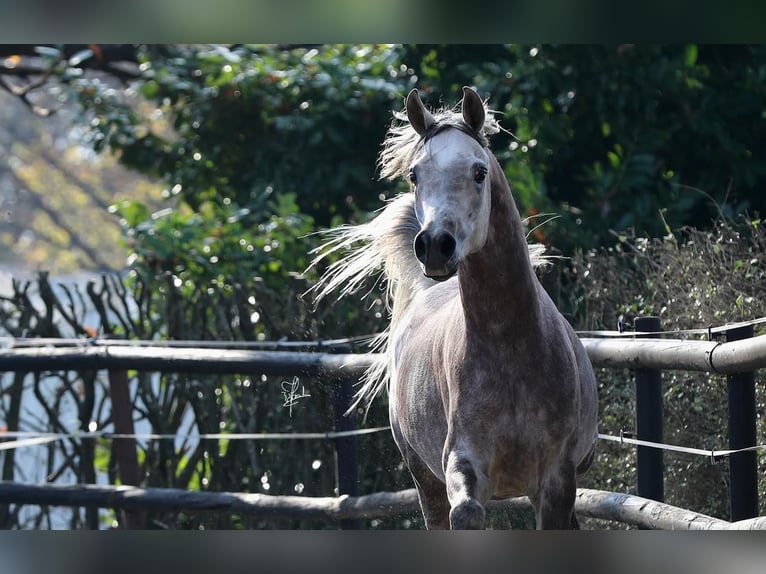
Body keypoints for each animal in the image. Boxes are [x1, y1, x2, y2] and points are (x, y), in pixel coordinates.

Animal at [312, 86, 600, 532]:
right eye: (414, 175)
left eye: (479, 172)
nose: (435, 245)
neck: (511, 350)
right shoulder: (462, 462)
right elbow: (466, 512)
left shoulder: (556, 480)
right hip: (423, 476)